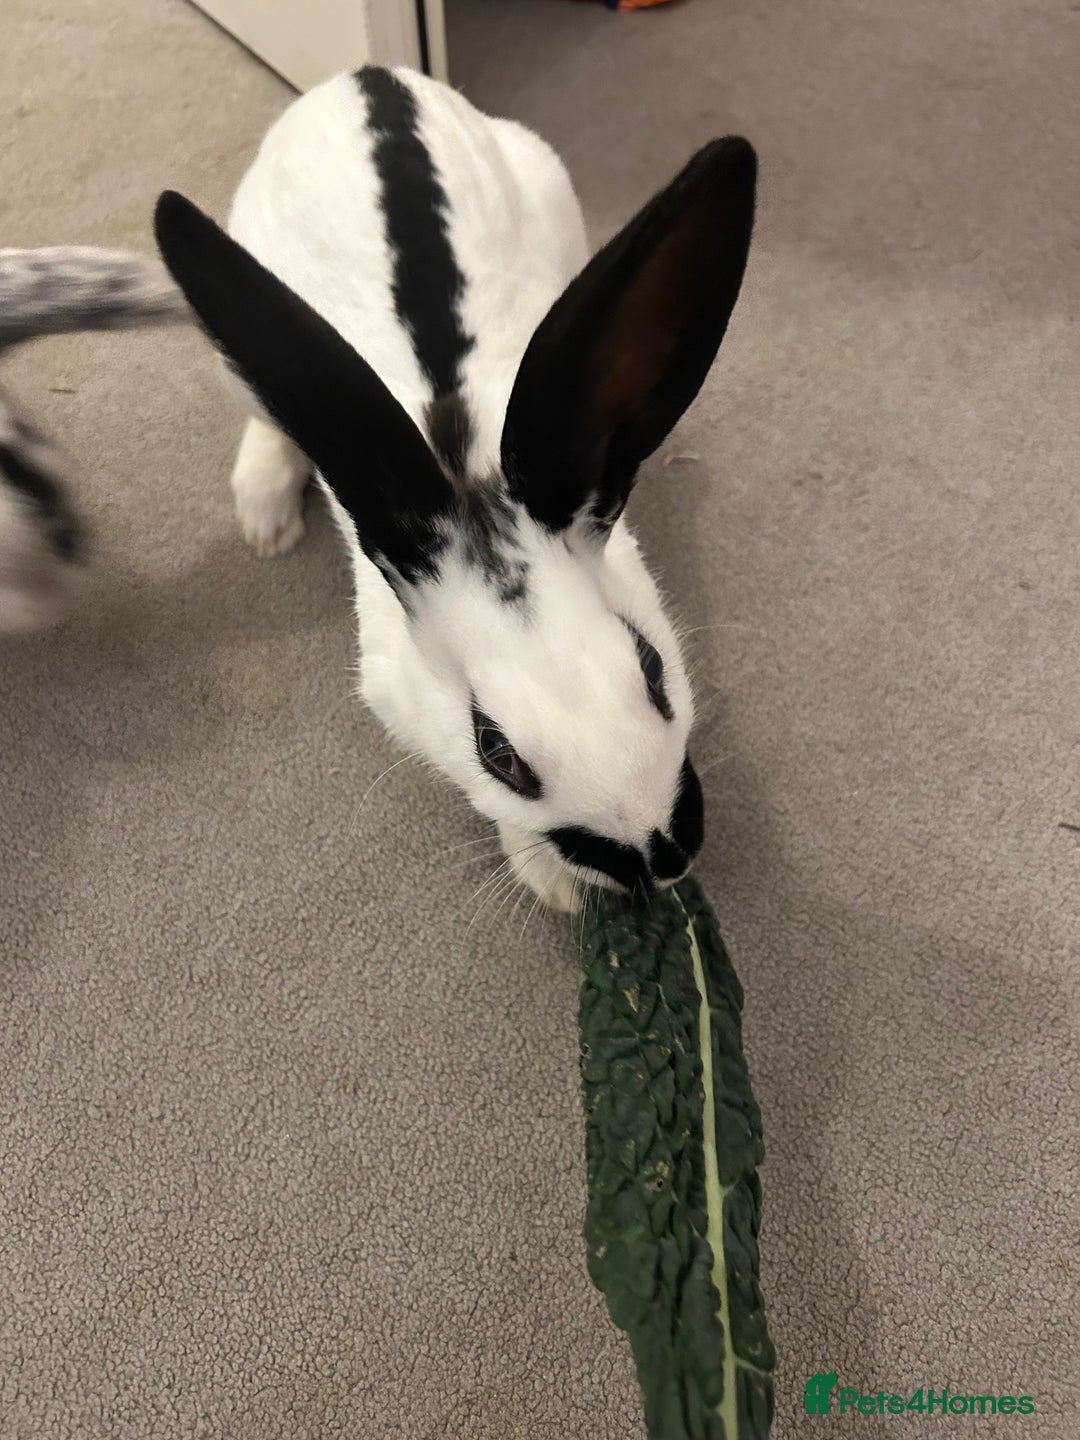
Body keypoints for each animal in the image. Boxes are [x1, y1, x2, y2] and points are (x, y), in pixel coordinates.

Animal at [154, 65, 756, 912]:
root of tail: (365, 77)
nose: (659, 854)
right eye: (496, 750)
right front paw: (553, 882)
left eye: (651, 669)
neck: (463, 464)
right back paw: (266, 518)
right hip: (240, 350)